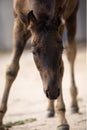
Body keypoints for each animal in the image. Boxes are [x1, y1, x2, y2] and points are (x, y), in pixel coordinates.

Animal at [0, 0, 79, 130]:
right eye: (33, 51)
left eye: (61, 48)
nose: (52, 92)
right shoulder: (18, 21)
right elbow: (11, 69)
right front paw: (1, 119)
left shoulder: (60, 21)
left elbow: (60, 68)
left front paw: (62, 121)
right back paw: (50, 109)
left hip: (73, 14)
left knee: (71, 53)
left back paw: (73, 104)